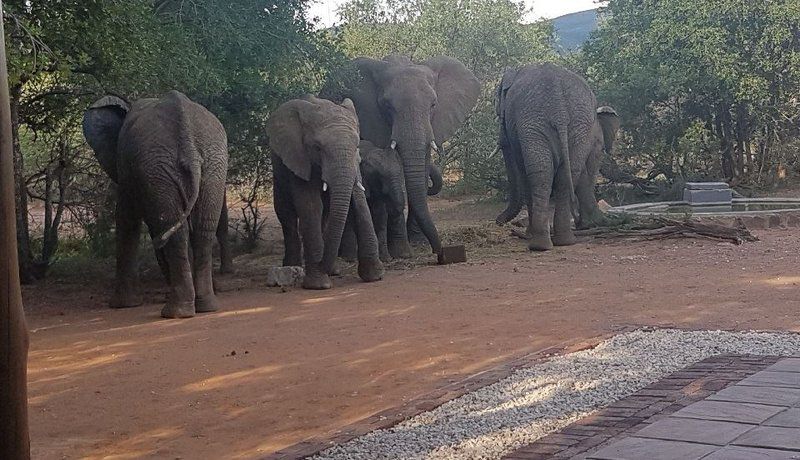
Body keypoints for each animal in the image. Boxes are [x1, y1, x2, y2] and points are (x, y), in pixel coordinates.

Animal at [83, 91, 228, 318]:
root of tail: (188, 141)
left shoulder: (127, 170)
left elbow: (126, 219)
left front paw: (122, 305)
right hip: (212, 165)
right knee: (201, 230)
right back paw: (205, 307)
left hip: (159, 166)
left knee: (173, 231)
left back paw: (175, 312)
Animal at [266, 95, 384, 290]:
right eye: (318, 148)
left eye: (356, 147)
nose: (323, 265)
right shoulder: (299, 157)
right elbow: (311, 206)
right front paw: (318, 285)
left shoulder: (354, 163)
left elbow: (358, 201)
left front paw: (375, 276)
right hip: (279, 168)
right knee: (286, 213)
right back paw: (293, 266)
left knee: (326, 214)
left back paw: (332, 270)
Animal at [494, 63, 620, 252]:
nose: (498, 222)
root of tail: (559, 112)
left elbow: (522, 170)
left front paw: (527, 234)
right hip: (576, 126)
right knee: (566, 175)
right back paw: (565, 240)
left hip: (535, 123)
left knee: (540, 175)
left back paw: (539, 244)